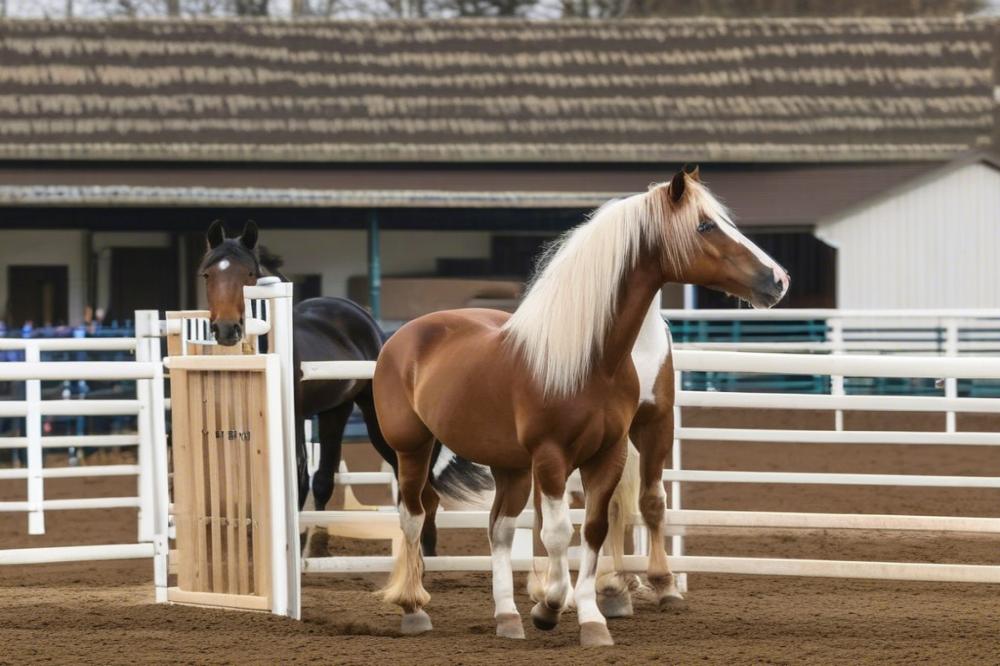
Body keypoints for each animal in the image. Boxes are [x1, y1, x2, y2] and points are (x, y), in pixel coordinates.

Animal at [376, 169, 788, 644]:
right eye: (704, 225)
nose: (778, 279)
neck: (592, 361)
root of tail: (406, 335)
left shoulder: (610, 452)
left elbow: (595, 527)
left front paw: (591, 617)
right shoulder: (551, 457)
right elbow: (557, 532)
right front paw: (551, 605)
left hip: (509, 465)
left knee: (498, 528)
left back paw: (507, 617)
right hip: (412, 449)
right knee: (413, 515)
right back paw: (414, 607)